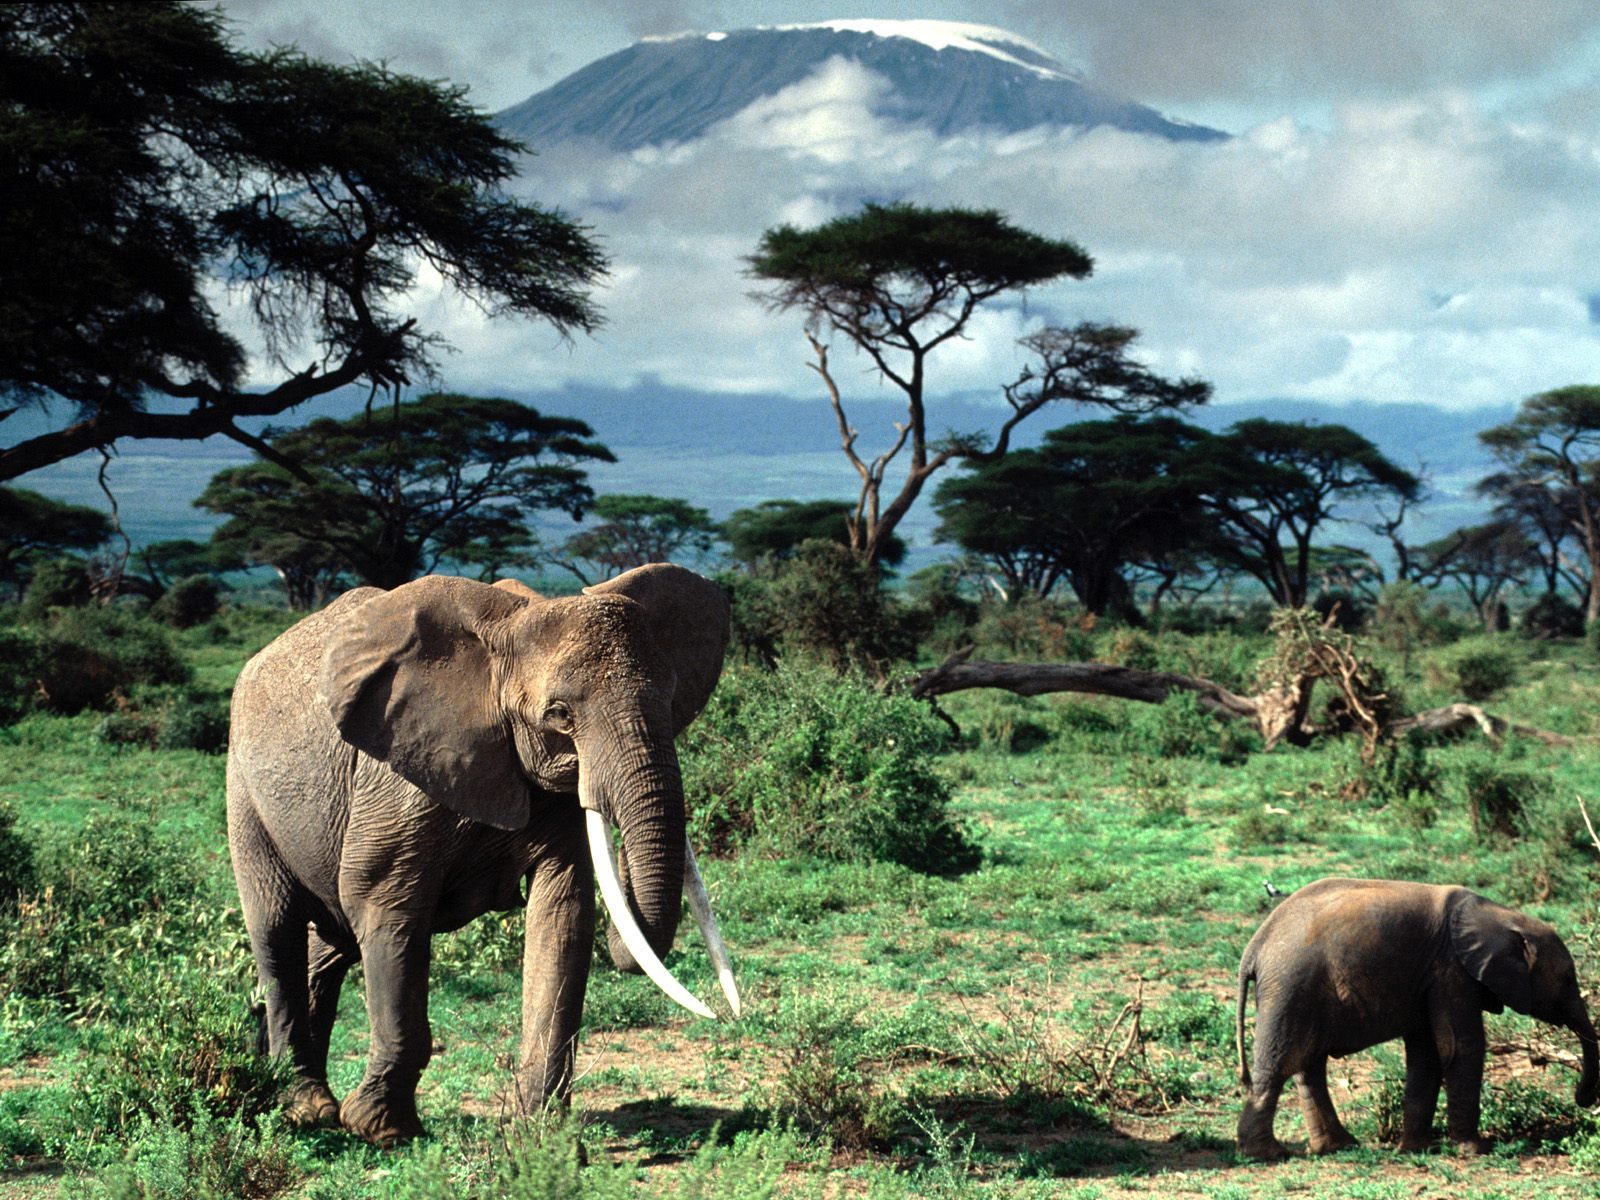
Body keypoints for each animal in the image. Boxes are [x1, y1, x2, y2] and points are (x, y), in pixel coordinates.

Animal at [227, 563, 736, 1145]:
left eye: (672, 701)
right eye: (559, 715)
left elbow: (562, 916)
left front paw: (541, 1137)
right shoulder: (399, 778)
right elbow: (384, 905)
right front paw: (384, 1130)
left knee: (328, 945)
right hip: (244, 788)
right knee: (279, 931)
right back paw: (305, 1109)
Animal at [1228, 876, 1593, 1158]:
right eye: (1568, 979)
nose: (1582, 1100)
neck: (1500, 915)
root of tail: (1254, 946)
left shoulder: (1430, 976)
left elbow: (1426, 1055)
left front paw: (1416, 1150)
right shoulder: (1451, 970)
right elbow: (1460, 1047)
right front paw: (1475, 1151)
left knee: (1308, 1067)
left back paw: (1338, 1147)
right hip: (1290, 988)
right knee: (1280, 1066)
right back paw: (1267, 1154)